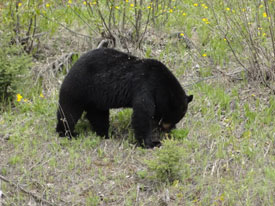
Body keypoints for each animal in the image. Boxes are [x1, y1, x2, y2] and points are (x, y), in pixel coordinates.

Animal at [56, 48, 194, 148]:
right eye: (172, 117)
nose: (168, 129)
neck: (161, 84)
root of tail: (70, 69)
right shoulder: (145, 86)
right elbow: (142, 114)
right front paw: (152, 143)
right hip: (78, 88)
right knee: (68, 112)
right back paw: (68, 133)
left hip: (96, 99)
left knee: (98, 115)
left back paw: (106, 133)